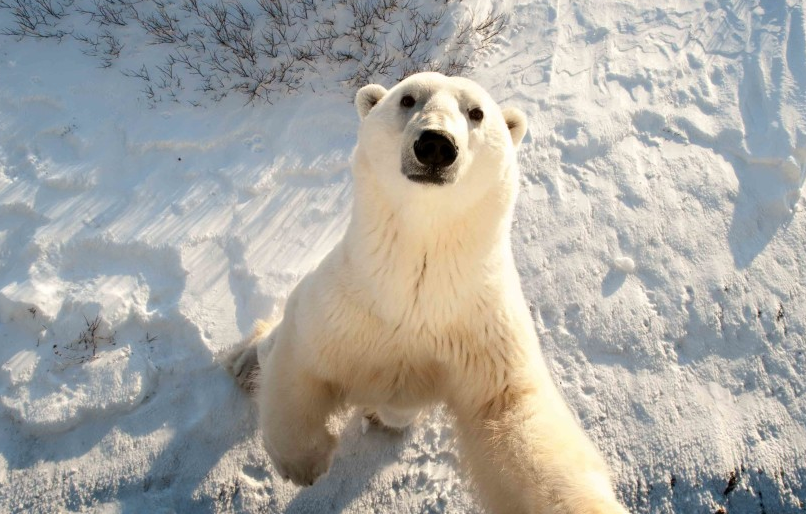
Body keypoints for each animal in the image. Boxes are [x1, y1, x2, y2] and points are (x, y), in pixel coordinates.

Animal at [226, 72, 628, 514]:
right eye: (407, 98)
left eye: (476, 112)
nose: (436, 144)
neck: (417, 280)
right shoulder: (346, 303)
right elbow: (300, 361)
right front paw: (305, 463)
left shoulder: (479, 326)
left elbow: (515, 414)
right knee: (271, 344)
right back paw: (246, 364)